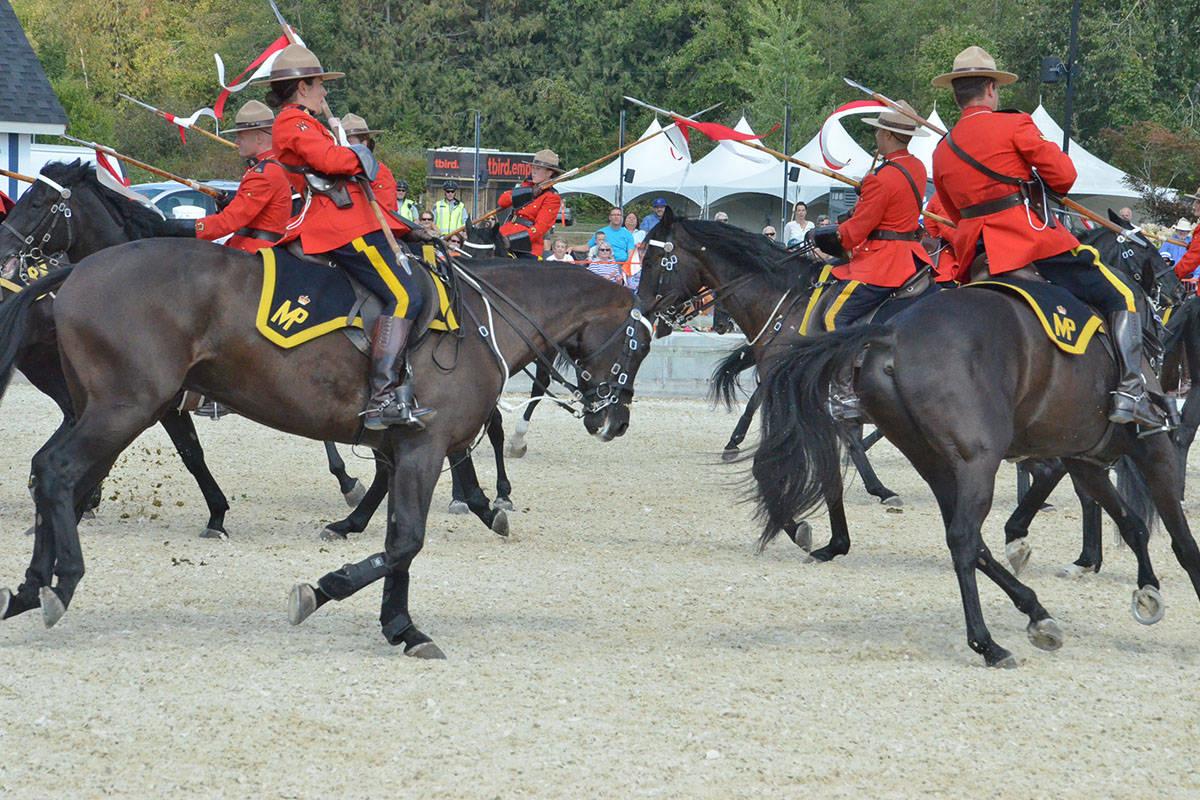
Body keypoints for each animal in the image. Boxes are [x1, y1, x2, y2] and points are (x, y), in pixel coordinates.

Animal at [0, 244, 652, 657]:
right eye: (638, 343)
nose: (616, 420)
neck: (479, 322)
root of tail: (77, 270)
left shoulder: (402, 449)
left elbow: (399, 543)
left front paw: (399, 625)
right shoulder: (423, 448)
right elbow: (405, 542)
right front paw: (323, 591)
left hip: (97, 408)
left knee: (46, 473)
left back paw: (30, 587)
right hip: (124, 408)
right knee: (59, 473)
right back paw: (60, 583)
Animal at [748, 251, 1200, 671]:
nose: (1175, 296)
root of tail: (892, 334)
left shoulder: (1085, 459)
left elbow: (1132, 522)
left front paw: (1146, 588)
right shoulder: (1149, 449)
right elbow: (1181, 541)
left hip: (938, 463)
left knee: (970, 536)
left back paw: (1036, 611)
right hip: (976, 460)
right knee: (965, 538)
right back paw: (988, 642)